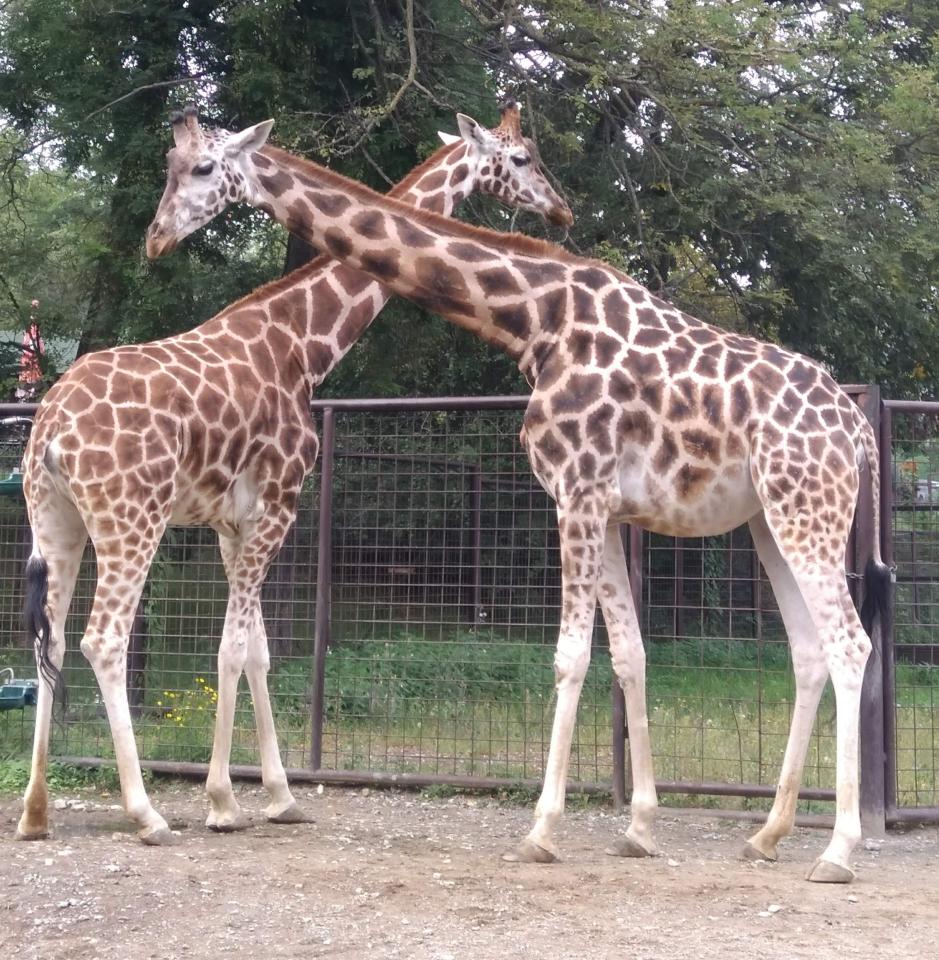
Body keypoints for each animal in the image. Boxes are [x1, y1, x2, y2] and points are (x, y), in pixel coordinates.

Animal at [16, 101, 572, 844]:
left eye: (193, 168)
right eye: (519, 158)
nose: (560, 208)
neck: (303, 345)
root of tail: (50, 427)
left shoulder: (232, 524)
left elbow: (256, 650)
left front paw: (278, 795)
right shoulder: (278, 504)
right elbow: (230, 650)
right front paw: (224, 801)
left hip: (56, 520)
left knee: (46, 640)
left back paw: (34, 811)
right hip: (132, 519)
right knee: (103, 639)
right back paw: (146, 813)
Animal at [149, 109, 896, 880]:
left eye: (203, 169)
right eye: (168, 168)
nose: (157, 237)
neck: (534, 321)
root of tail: (855, 431)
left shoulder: (576, 490)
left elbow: (570, 657)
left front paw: (541, 829)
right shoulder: (600, 505)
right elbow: (629, 656)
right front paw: (639, 828)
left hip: (808, 506)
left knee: (850, 645)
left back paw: (838, 848)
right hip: (769, 521)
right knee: (809, 651)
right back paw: (769, 833)